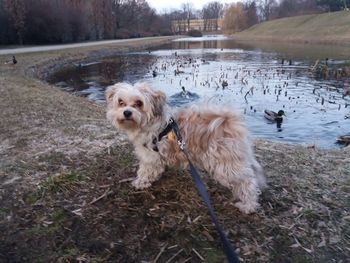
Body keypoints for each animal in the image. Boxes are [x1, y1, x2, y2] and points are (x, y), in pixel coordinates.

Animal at [106, 82, 266, 214]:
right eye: (121, 102)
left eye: (139, 103)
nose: (127, 112)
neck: (151, 123)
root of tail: (228, 121)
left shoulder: (150, 156)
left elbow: (145, 170)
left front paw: (140, 183)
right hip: (238, 158)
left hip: (226, 164)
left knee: (246, 182)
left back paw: (249, 205)